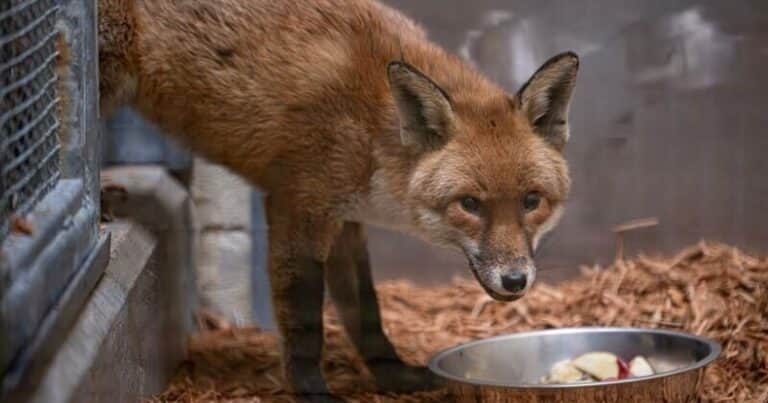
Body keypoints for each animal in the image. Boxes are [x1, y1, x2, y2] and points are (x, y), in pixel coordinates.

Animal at [97, 0, 578, 400]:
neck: (372, 127)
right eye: (470, 204)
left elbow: (366, 312)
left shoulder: (347, 220)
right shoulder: (297, 207)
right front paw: (311, 390)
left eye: (531, 200)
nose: (515, 280)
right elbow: (306, 319)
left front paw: (394, 376)